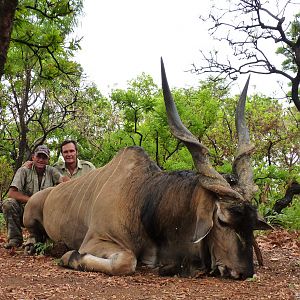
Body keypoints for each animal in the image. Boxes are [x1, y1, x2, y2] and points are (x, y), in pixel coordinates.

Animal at [24, 58, 272, 278]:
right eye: (222, 221)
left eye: (251, 222)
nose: (243, 272)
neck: (141, 197)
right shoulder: (95, 240)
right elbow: (126, 261)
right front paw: (68, 256)